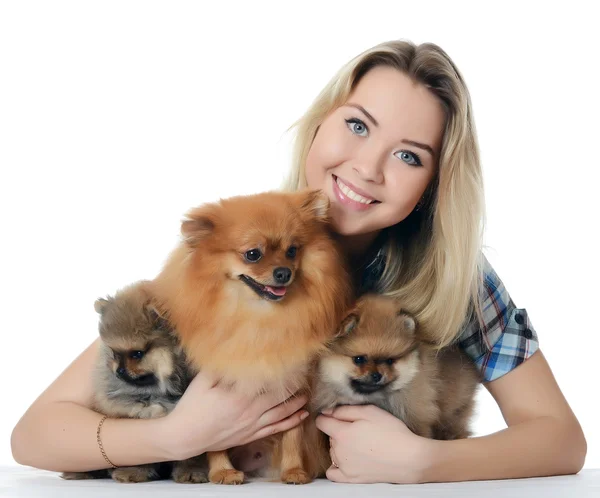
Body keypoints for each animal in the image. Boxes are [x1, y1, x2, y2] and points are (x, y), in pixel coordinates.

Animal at [150, 189, 354, 484]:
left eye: (292, 250)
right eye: (253, 254)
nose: (284, 272)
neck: (259, 317)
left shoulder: (293, 387)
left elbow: (292, 437)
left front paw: (294, 471)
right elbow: (216, 440)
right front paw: (223, 472)